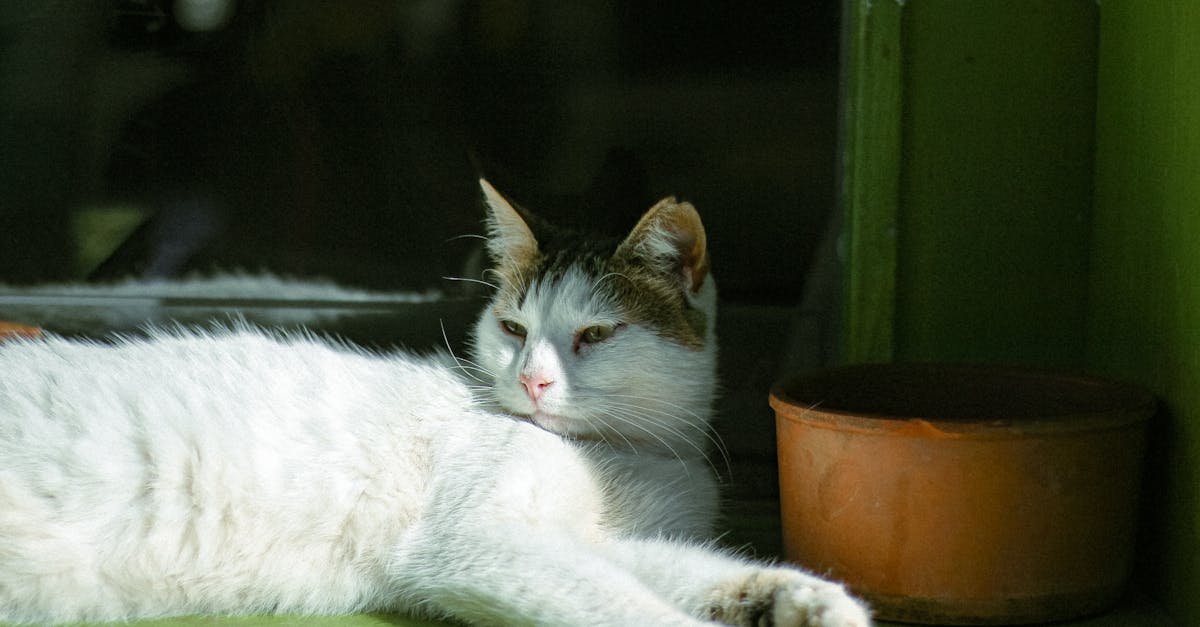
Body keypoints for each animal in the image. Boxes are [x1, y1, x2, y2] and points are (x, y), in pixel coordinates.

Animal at [0, 177, 868, 619]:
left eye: (593, 334)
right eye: (515, 328)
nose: (532, 379)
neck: (630, 455)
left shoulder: (597, 539)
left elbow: (681, 565)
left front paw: (796, 594)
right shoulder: (476, 543)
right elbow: (631, 606)